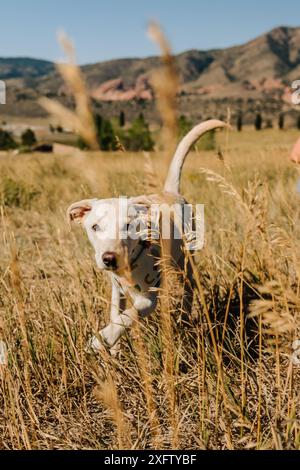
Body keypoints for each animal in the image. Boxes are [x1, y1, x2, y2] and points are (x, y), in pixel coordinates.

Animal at [67, 119, 226, 354]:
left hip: (185, 261)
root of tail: (170, 192)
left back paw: (184, 317)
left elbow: (128, 316)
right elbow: (116, 313)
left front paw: (101, 339)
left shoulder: (149, 300)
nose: (109, 258)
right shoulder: (116, 288)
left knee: (188, 288)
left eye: (129, 226)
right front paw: (114, 348)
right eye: (95, 227)